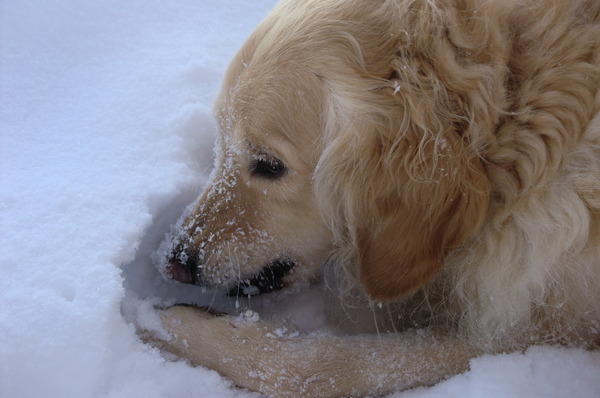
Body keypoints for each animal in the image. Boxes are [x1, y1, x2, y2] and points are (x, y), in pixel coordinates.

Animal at [146, 0, 600, 396]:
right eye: (219, 145)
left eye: (269, 165)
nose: (173, 262)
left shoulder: (541, 328)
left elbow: (319, 369)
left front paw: (173, 327)